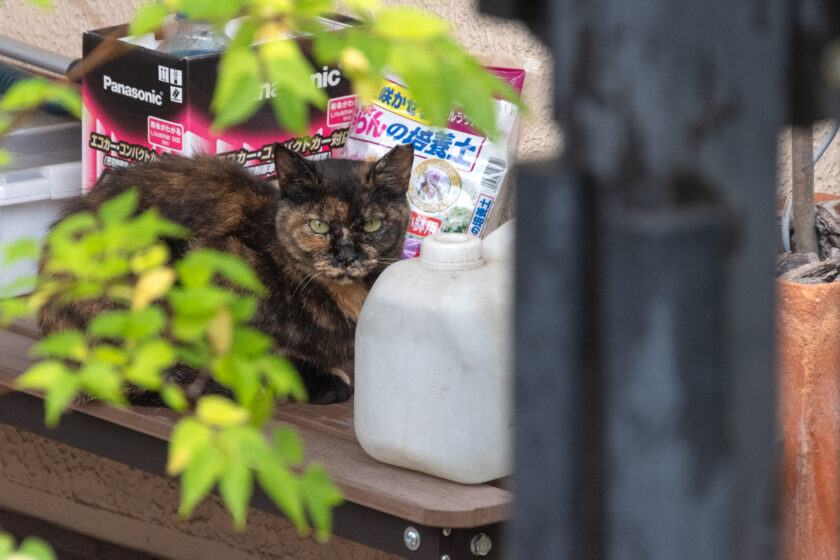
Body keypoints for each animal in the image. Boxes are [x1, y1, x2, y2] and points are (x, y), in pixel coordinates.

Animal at [39, 144, 414, 404]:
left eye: (372, 224)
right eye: (319, 226)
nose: (347, 257)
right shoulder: (218, 264)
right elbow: (260, 352)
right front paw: (323, 381)